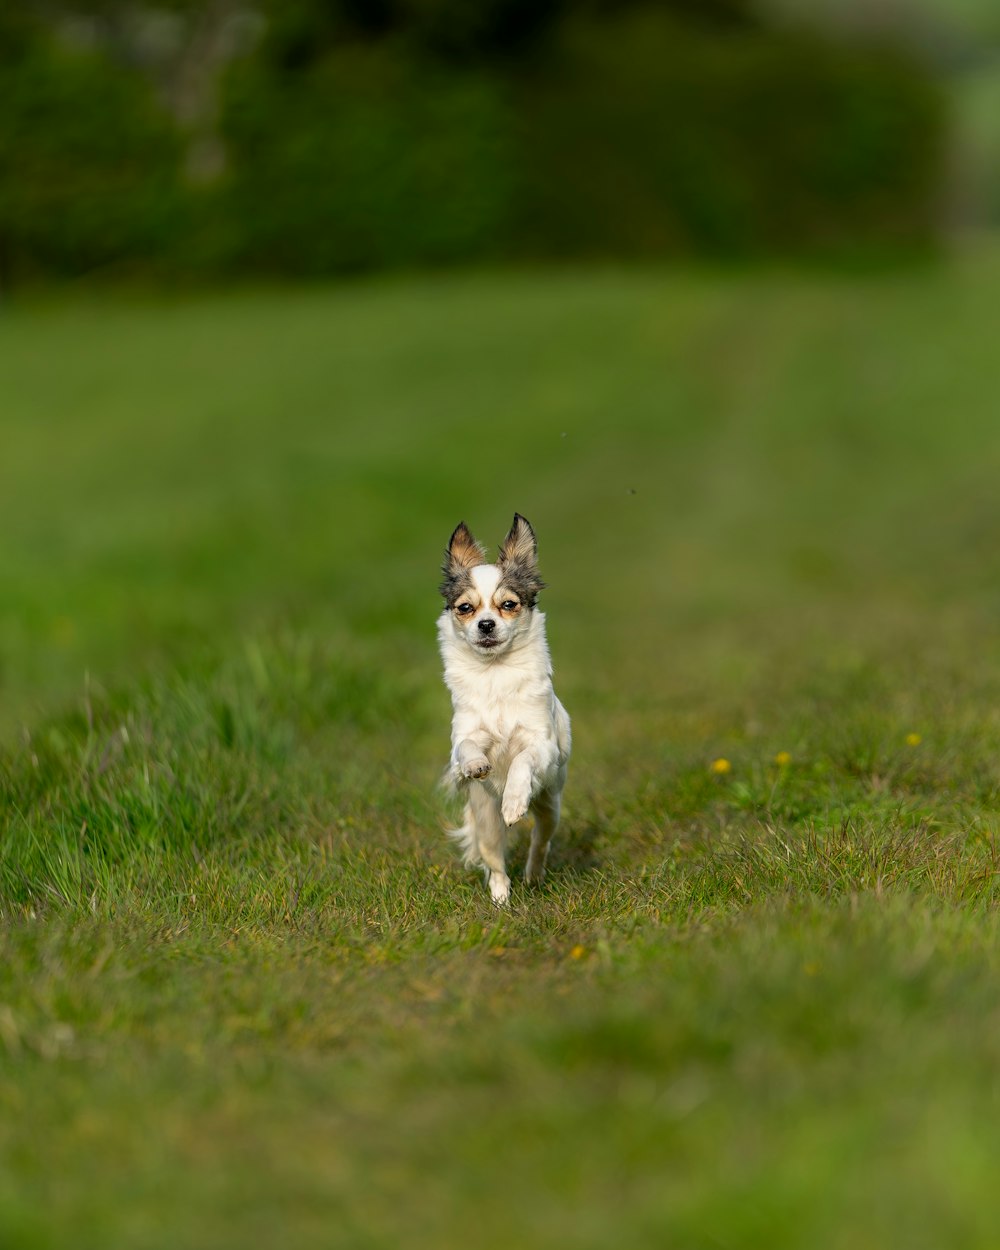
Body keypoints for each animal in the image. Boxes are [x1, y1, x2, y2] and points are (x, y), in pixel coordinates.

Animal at [437, 512, 570, 905]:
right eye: (466, 608)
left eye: (508, 604)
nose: (486, 624)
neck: (495, 672)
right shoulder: (464, 735)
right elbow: (467, 747)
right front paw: (476, 765)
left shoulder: (542, 744)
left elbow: (522, 760)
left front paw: (513, 801)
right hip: (486, 821)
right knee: (495, 863)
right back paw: (500, 898)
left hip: (550, 806)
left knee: (540, 842)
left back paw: (533, 874)